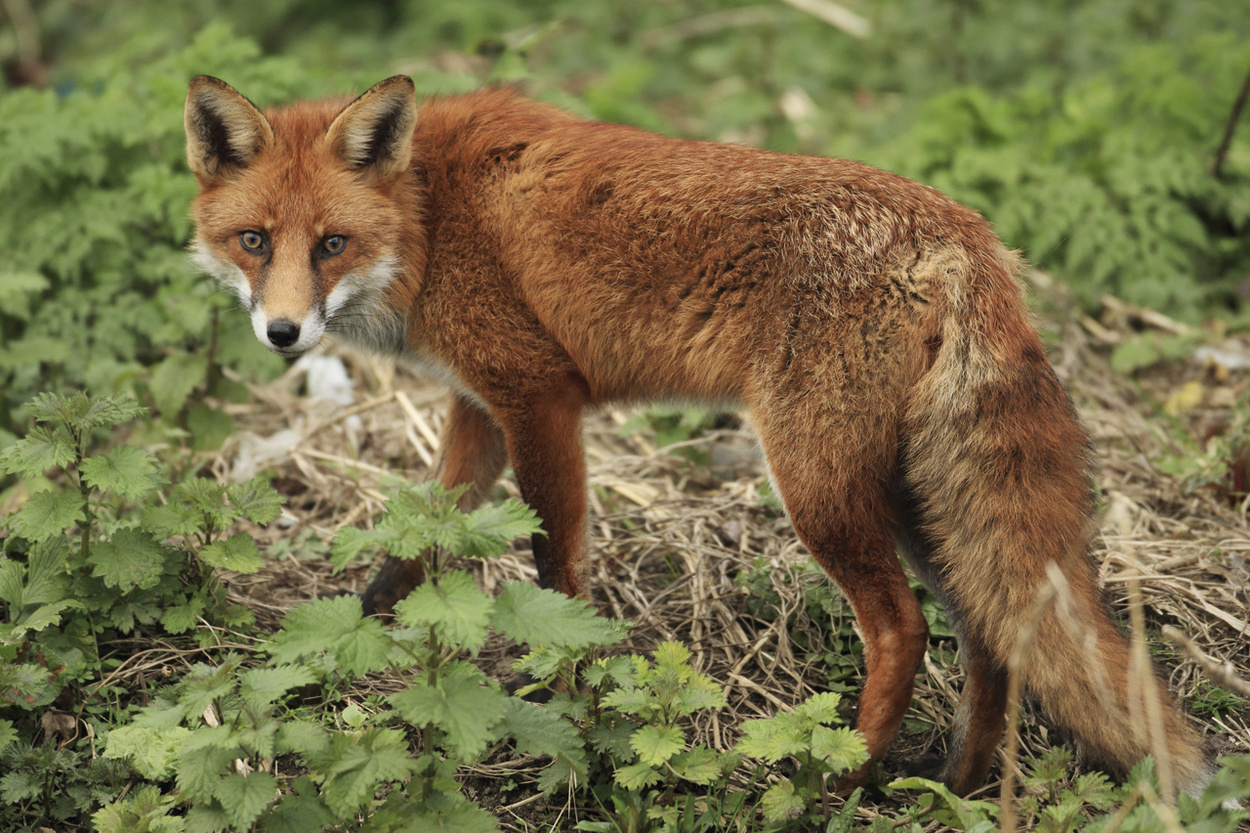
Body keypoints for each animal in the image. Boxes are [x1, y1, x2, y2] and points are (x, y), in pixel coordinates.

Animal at [184, 74, 1221, 797]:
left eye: (331, 245)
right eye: (254, 241)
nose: (283, 334)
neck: (431, 215)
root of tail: (967, 230)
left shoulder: (539, 398)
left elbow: (557, 574)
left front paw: (574, 710)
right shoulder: (481, 409)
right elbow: (406, 558)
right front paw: (327, 656)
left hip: (819, 485)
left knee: (904, 628)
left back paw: (838, 780)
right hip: (915, 496)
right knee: (993, 632)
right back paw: (957, 787)